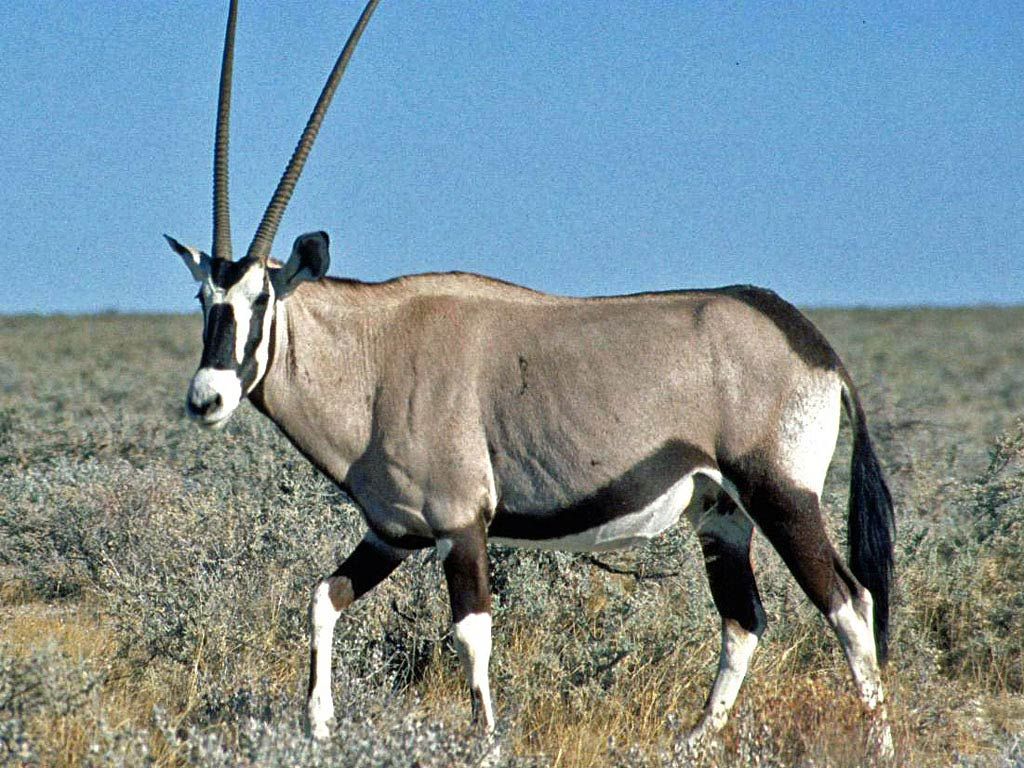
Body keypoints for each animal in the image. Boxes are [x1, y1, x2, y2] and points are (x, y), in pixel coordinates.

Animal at [166, 0, 896, 754]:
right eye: (203, 299)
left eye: (261, 300)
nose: (207, 398)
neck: (374, 358)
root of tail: (810, 341)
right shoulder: (391, 532)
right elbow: (321, 599)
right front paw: (318, 726)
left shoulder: (461, 524)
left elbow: (471, 636)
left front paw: (484, 741)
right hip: (721, 512)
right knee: (744, 619)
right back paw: (693, 741)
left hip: (781, 495)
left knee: (850, 605)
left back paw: (876, 742)